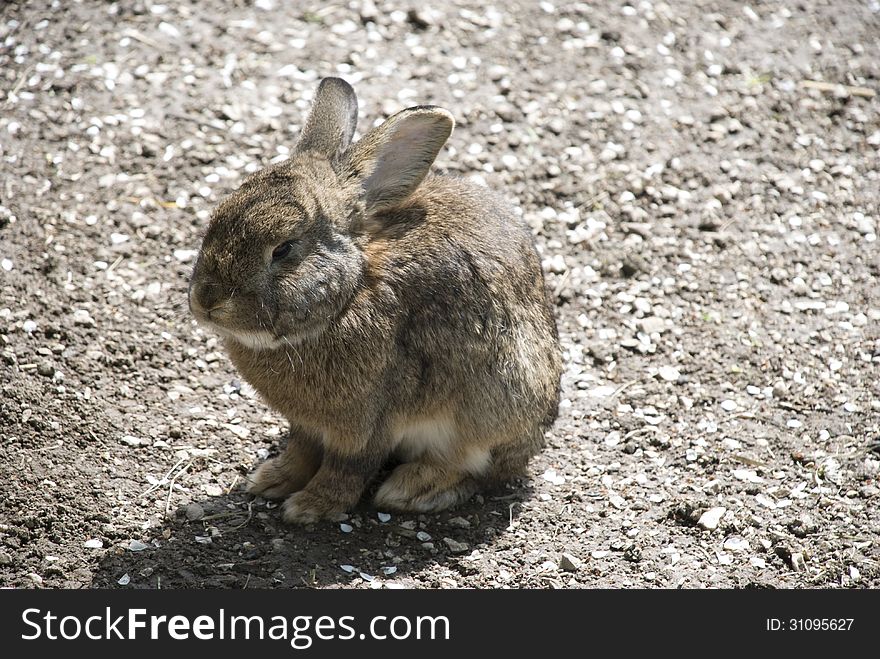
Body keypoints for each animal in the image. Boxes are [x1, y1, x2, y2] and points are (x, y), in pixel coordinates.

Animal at [191, 77, 564, 524]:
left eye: (284, 249)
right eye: (214, 220)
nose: (206, 300)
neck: (347, 296)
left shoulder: (367, 421)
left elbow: (348, 467)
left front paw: (311, 507)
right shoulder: (307, 424)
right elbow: (302, 450)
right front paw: (271, 481)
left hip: (495, 402)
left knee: (474, 467)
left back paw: (412, 489)